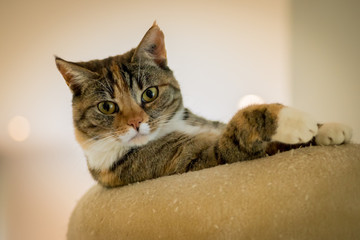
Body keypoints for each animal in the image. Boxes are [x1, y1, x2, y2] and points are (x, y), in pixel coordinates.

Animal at [55, 22, 352, 188]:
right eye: (107, 107)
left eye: (149, 93)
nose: (136, 123)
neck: (177, 126)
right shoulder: (201, 158)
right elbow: (240, 126)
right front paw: (295, 121)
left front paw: (328, 128)